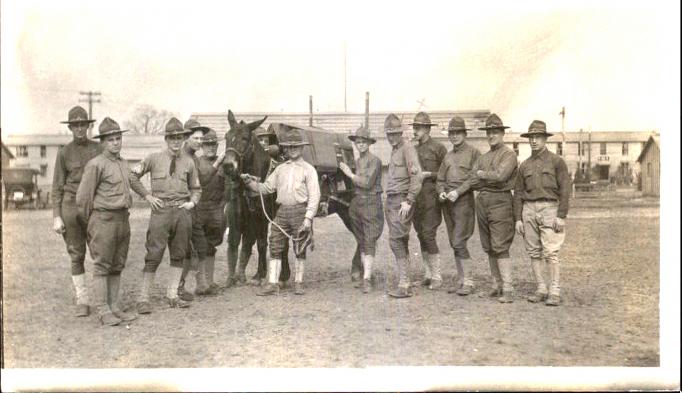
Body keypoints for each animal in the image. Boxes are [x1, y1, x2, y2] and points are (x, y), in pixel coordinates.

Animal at [222, 109, 288, 284]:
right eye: (226, 136)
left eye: (245, 138)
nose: (228, 165)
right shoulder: (254, 216)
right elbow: (259, 243)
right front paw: (260, 273)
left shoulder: (265, 216)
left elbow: (265, 243)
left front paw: (266, 275)